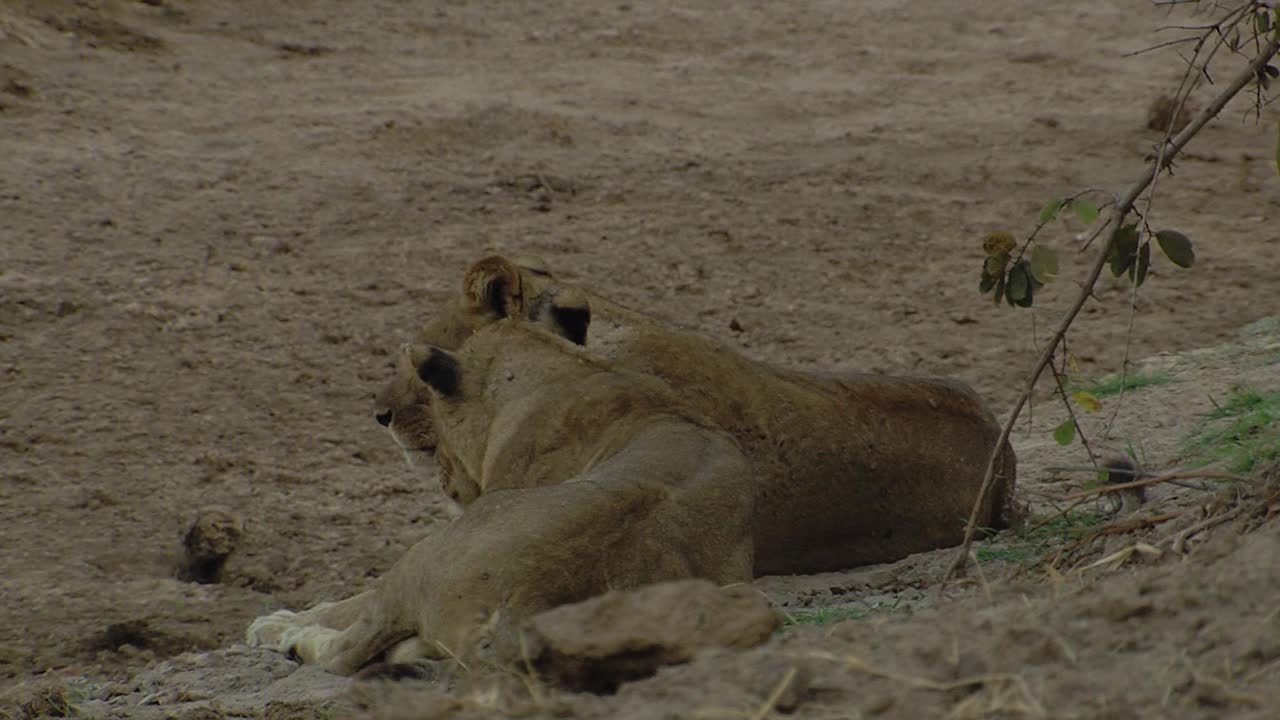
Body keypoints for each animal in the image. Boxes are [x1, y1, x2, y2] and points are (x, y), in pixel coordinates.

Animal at [244, 313, 752, 671]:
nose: (444, 481)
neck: (570, 373)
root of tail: (531, 594)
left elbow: (351, 603)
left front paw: (279, 621)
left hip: (422, 558)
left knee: (352, 644)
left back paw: (292, 638)